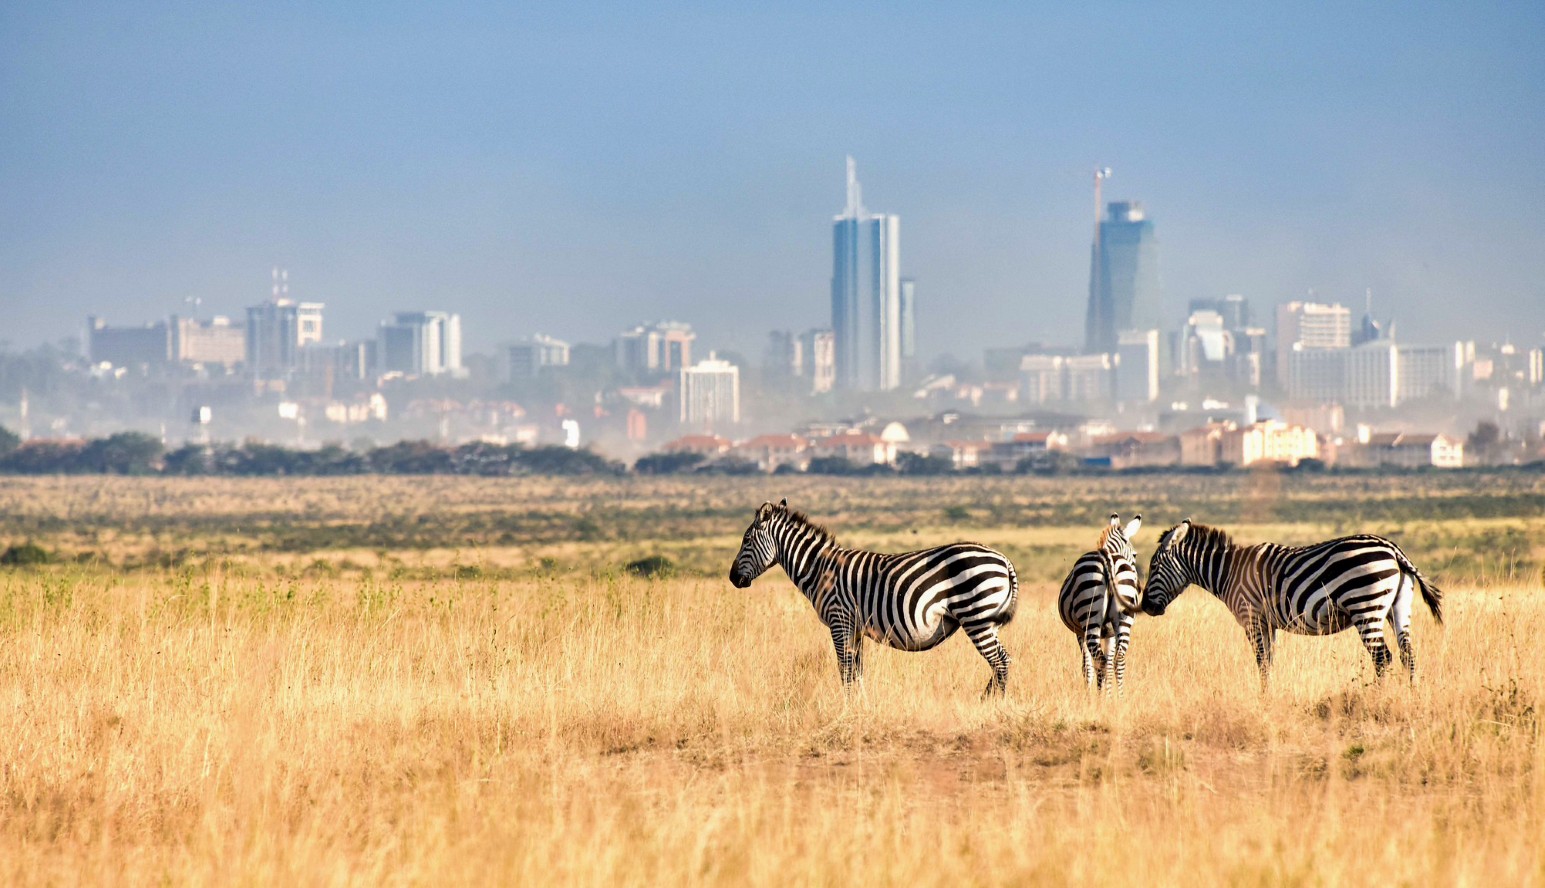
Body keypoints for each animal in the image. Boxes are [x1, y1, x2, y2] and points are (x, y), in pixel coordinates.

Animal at [729, 499, 1019, 696]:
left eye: (746, 540)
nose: (732, 578)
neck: (819, 569)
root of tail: (1003, 559)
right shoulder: (854, 627)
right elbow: (856, 672)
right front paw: (861, 704)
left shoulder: (840, 620)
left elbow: (845, 669)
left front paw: (848, 707)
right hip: (986, 621)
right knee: (1001, 662)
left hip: (976, 616)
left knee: (1001, 662)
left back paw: (990, 704)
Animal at [1057, 513, 1142, 692]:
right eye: (1135, 555)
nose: (1139, 587)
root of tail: (1108, 558)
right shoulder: (1110, 633)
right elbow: (1108, 664)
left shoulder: (1079, 632)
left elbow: (1087, 667)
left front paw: (1090, 693)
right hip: (1123, 620)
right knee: (1118, 660)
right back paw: (1120, 696)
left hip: (1090, 618)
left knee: (1100, 661)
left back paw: (1100, 696)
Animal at [1140, 519, 1443, 681]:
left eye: (1153, 566)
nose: (1145, 607)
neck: (1229, 571)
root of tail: (1393, 550)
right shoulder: (1268, 623)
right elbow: (1269, 661)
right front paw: (1269, 695)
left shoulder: (1251, 617)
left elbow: (1261, 661)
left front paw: (1263, 700)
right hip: (1398, 608)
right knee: (1407, 655)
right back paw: (1410, 698)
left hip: (1365, 606)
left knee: (1382, 658)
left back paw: (1378, 700)